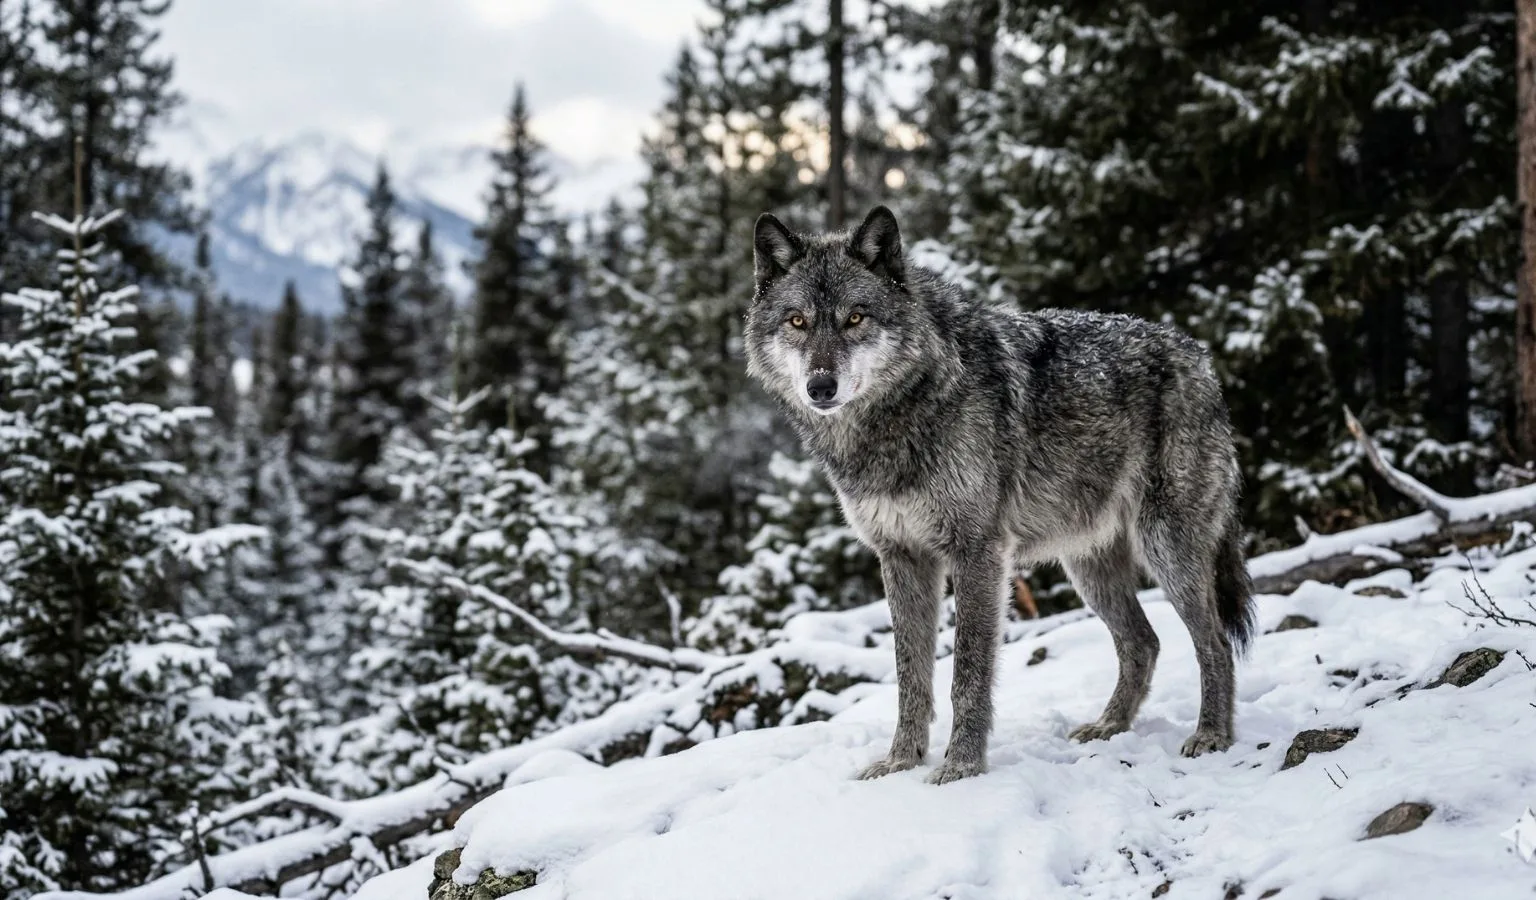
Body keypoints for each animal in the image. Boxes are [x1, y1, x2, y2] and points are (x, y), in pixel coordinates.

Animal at [744, 206, 1255, 785]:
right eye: (797, 321)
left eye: (855, 318)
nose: (821, 387)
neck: (898, 418)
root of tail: (1200, 358)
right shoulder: (901, 557)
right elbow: (909, 676)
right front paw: (901, 762)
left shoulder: (977, 553)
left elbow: (967, 671)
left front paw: (960, 767)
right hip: (1089, 568)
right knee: (1143, 641)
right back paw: (1109, 726)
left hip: (1167, 551)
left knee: (1214, 643)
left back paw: (1211, 735)